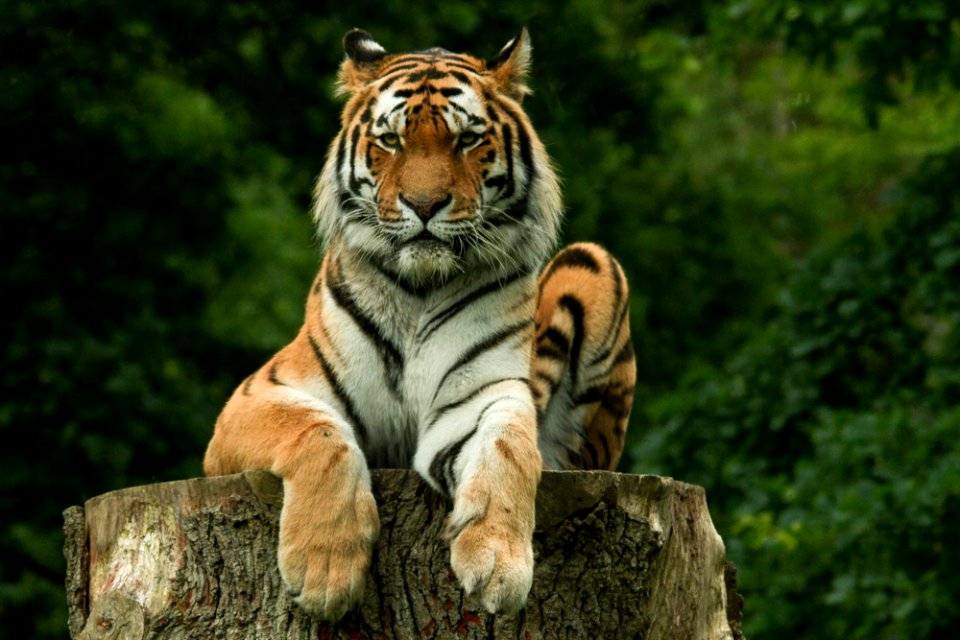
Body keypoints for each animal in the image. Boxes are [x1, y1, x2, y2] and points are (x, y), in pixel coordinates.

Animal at [202, 27, 636, 624]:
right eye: (390, 141)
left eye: (467, 140)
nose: (424, 205)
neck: (417, 290)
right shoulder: (257, 396)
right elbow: (317, 431)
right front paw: (324, 569)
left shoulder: (481, 395)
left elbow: (509, 449)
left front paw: (498, 563)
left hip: (594, 264)